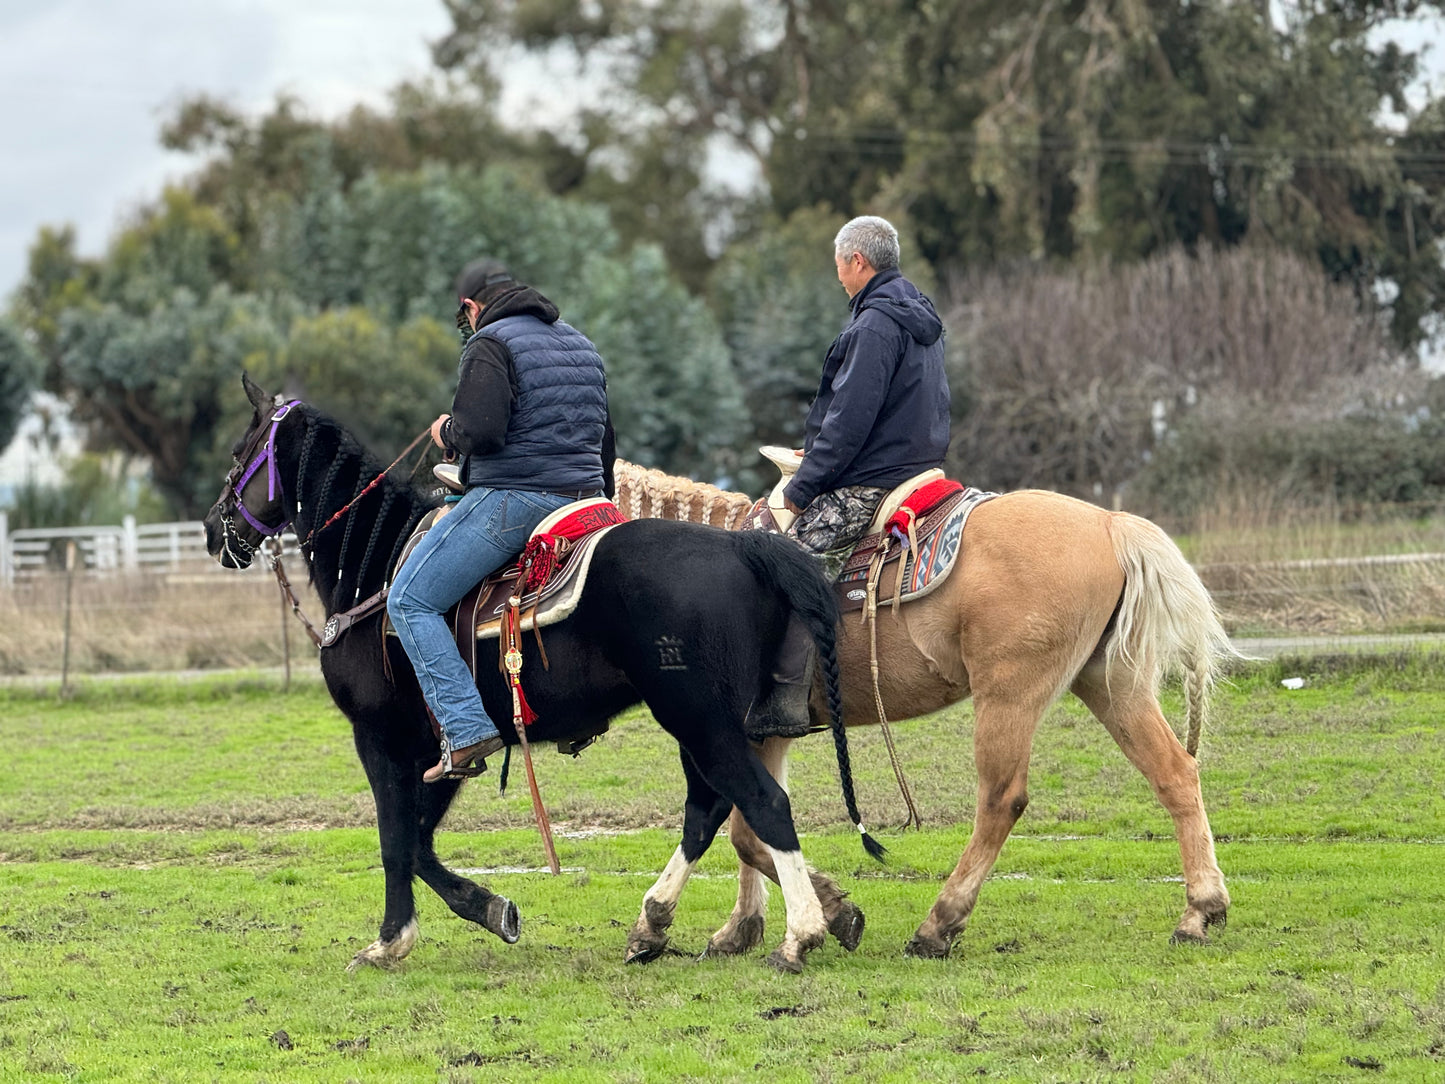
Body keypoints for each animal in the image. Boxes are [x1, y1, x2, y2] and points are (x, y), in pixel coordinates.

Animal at [202, 378, 867, 971]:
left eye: (238, 453)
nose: (212, 529)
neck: (376, 568)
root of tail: (743, 548)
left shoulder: (381, 737)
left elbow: (395, 841)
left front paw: (390, 941)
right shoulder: (442, 748)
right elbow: (418, 841)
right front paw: (492, 910)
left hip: (700, 719)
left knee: (761, 804)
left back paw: (798, 937)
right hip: (710, 725)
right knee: (709, 811)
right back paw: (655, 927)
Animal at [615, 459, 1236, 959]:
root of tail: (1110, 523)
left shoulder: (729, 731)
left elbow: (745, 829)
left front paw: (820, 915)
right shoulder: (764, 733)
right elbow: (753, 827)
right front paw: (743, 929)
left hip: (1009, 695)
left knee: (1001, 801)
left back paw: (939, 925)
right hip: (1112, 683)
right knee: (1175, 774)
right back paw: (1199, 911)